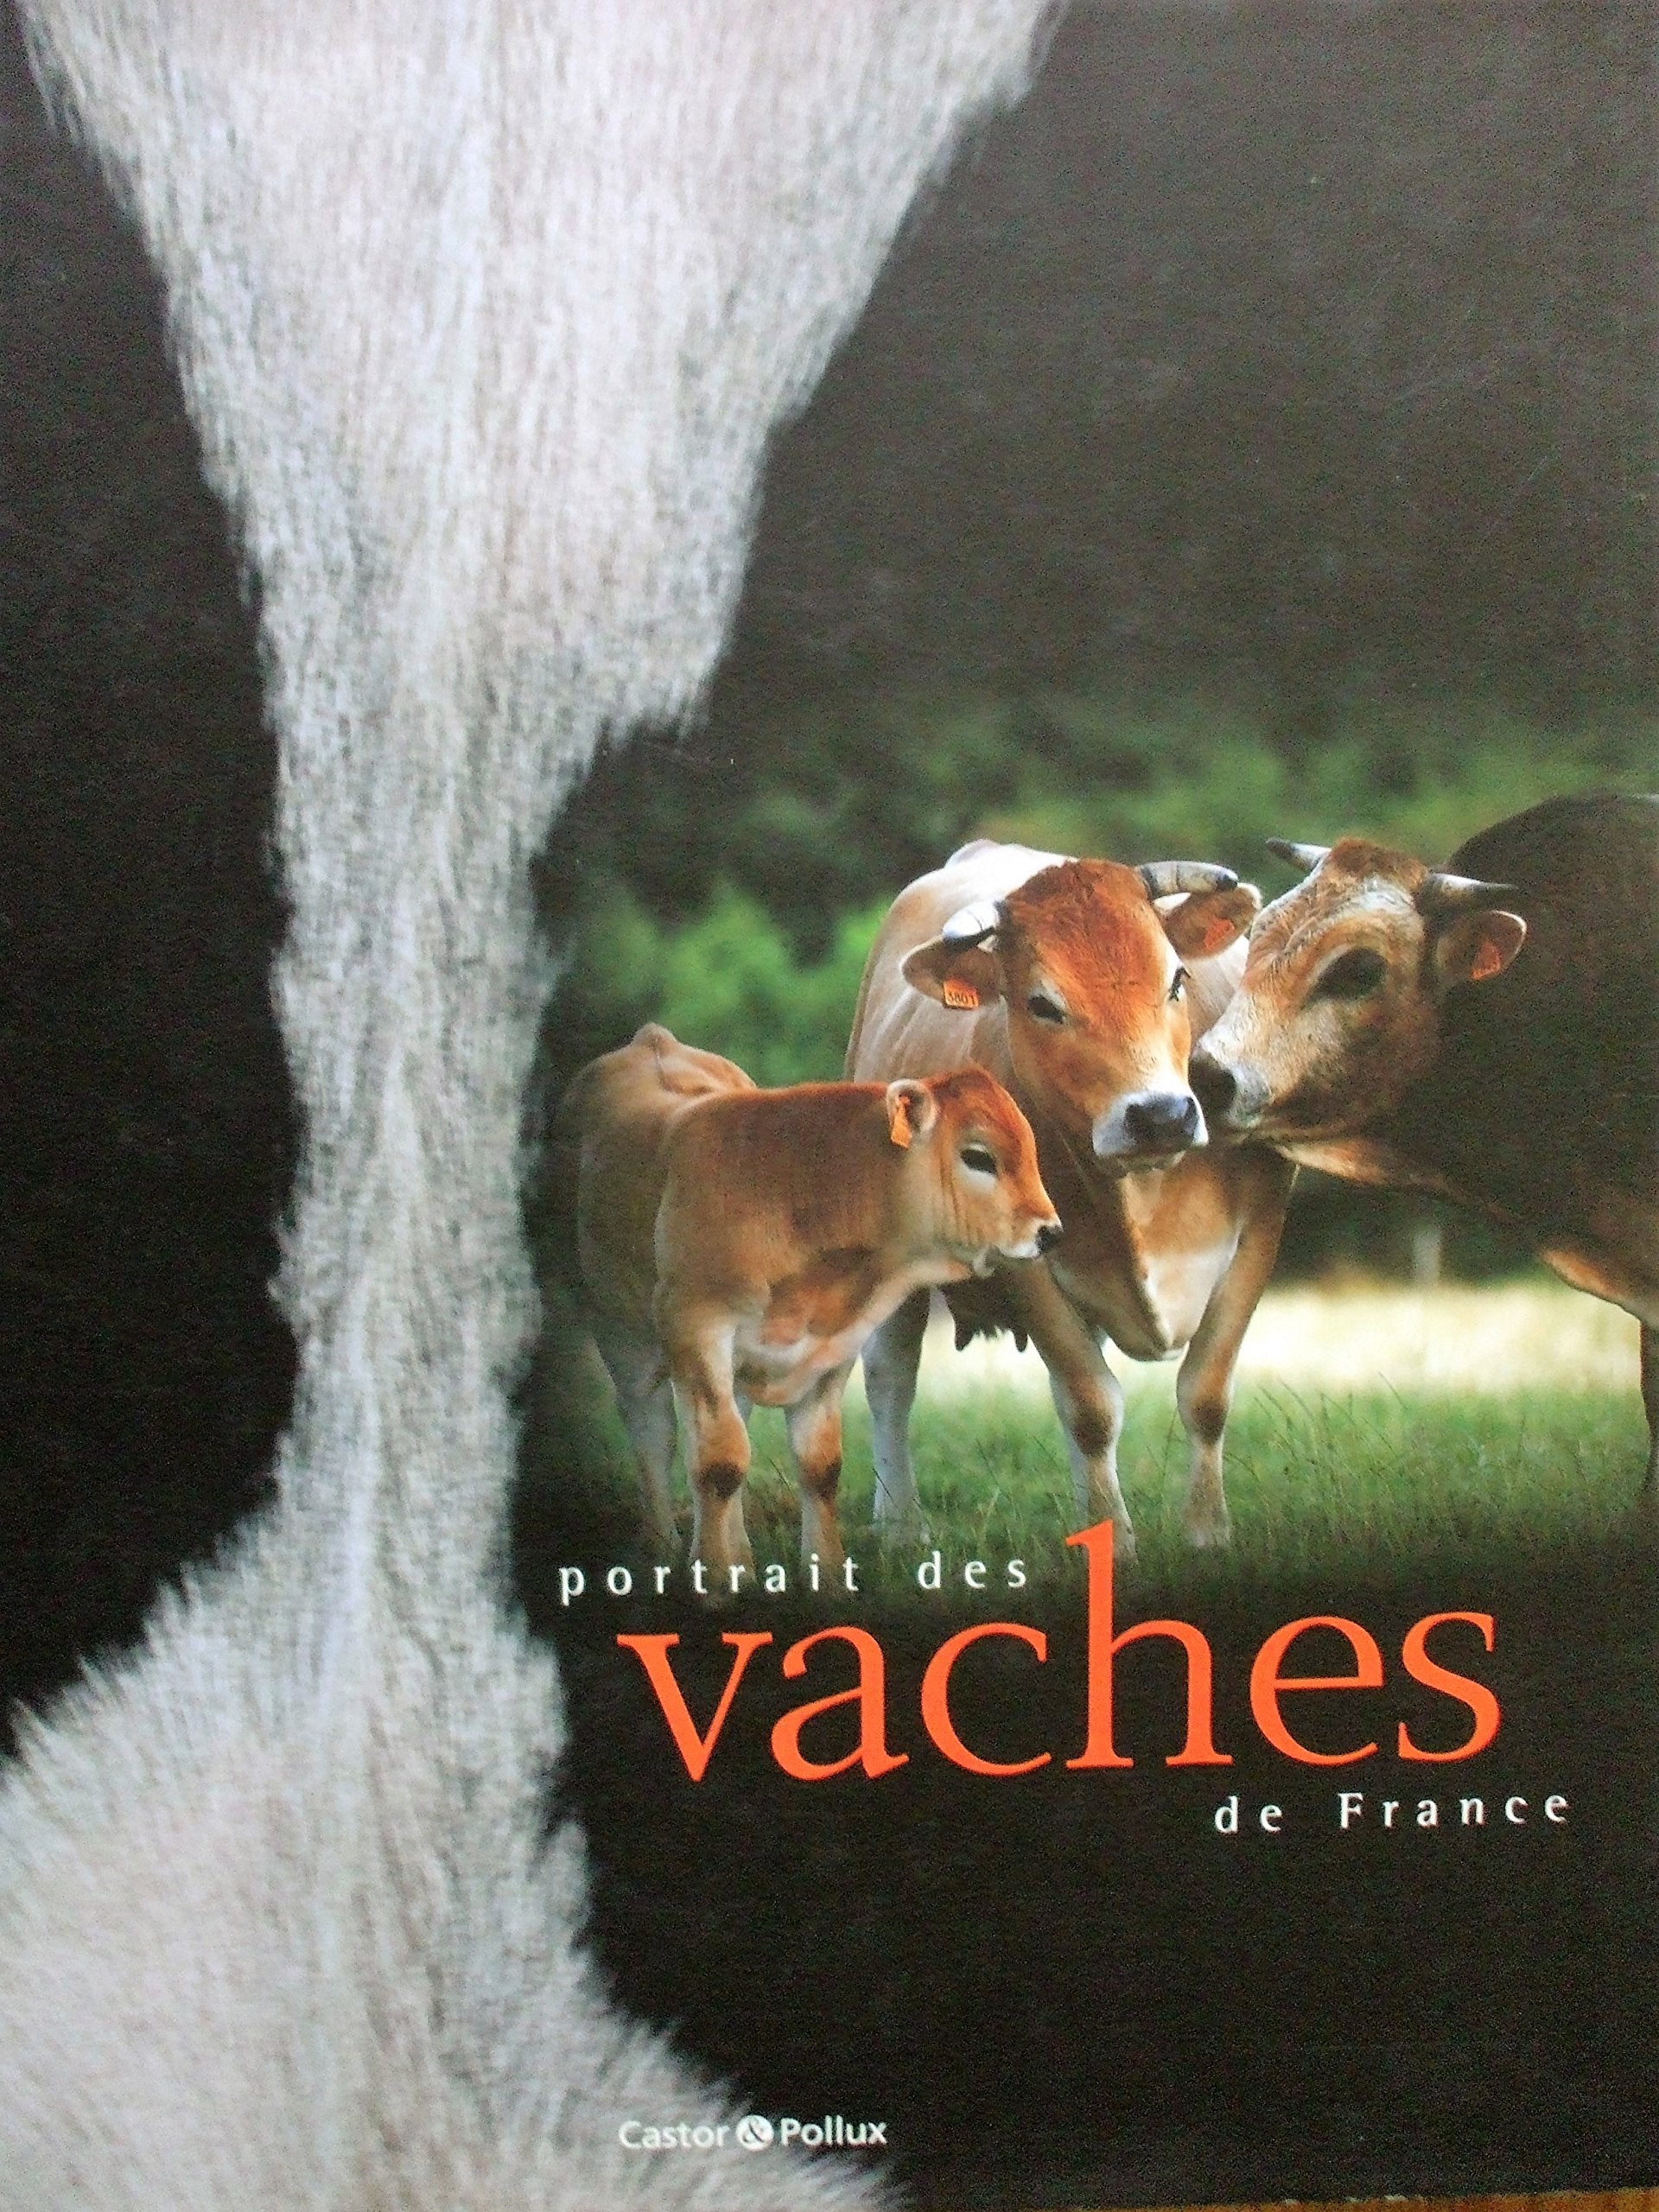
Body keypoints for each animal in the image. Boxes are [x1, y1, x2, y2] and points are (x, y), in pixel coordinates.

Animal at [561, 1022, 1060, 1582]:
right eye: (978, 1157)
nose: (1049, 1231)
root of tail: (652, 1039)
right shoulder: (697, 1330)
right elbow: (716, 1464)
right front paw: (715, 1579)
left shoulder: (833, 1348)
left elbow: (818, 1466)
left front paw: (826, 1576)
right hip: (619, 1332)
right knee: (653, 1430)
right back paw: (665, 1546)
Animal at [844, 840, 1296, 1560]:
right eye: (1042, 1004)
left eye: (1177, 980)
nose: (1161, 1115)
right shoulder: (1026, 1264)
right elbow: (1091, 1409)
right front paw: (1115, 1542)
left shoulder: (1259, 1230)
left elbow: (1204, 1394)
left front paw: (1207, 1532)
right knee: (891, 1376)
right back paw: (900, 1526)